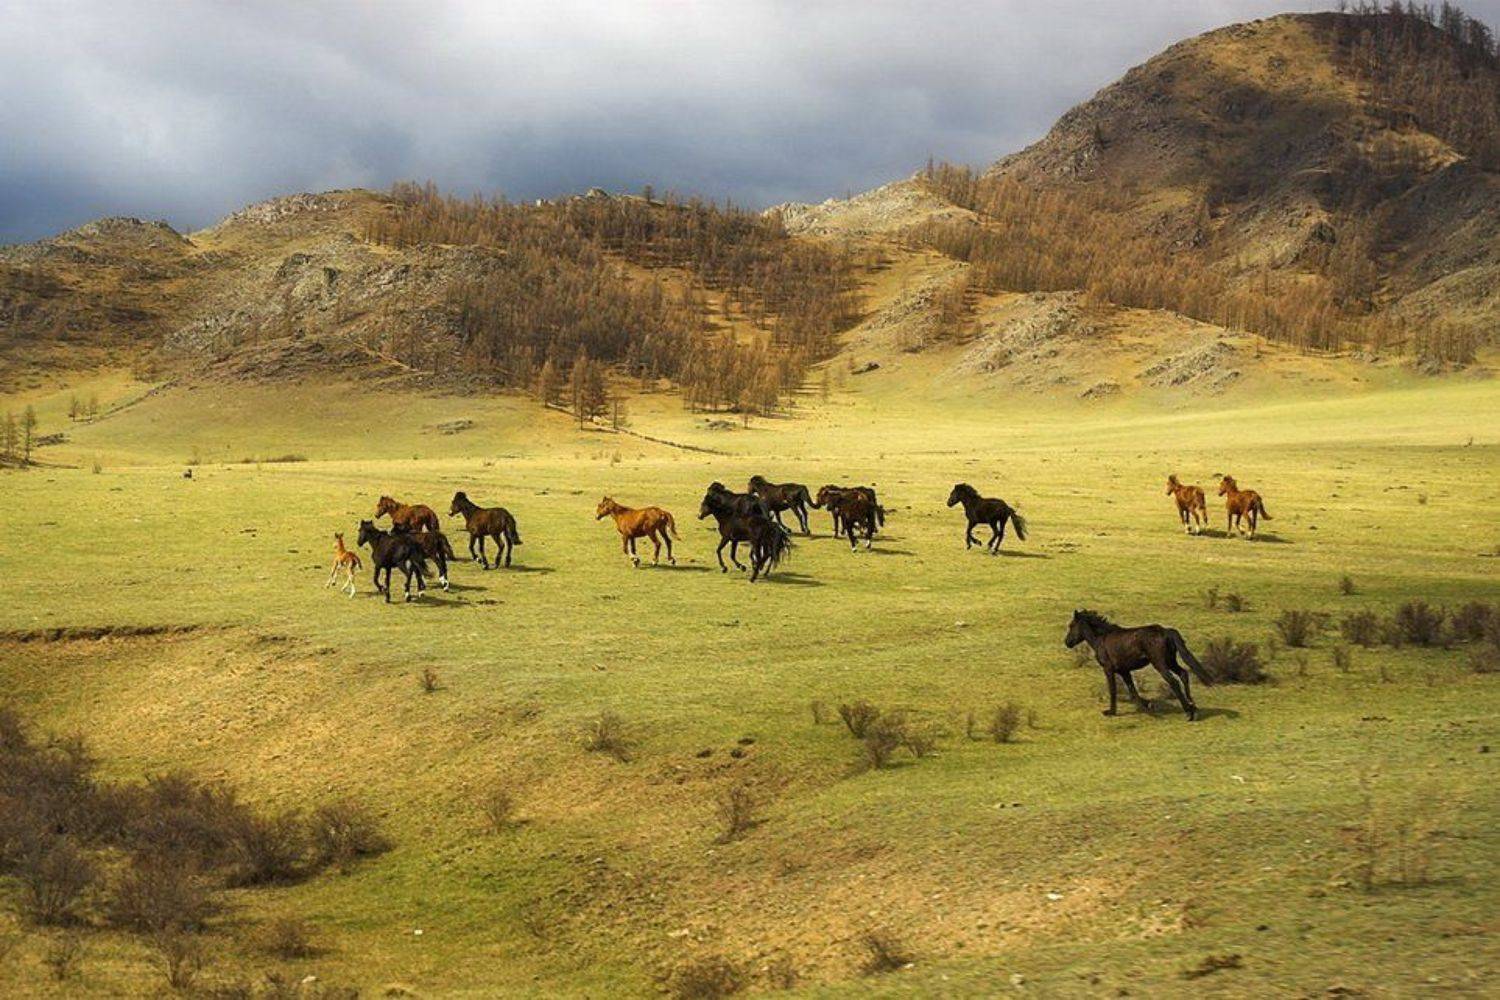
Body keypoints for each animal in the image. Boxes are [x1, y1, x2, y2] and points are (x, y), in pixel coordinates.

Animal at [1064, 609, 1214, 721]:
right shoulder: (1124, 671)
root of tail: (1166, 631)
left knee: (1173, 681)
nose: (1067, 642)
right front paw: (1149, 705)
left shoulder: (1108, 669)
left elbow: (1113, 690)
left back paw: (1188, 713)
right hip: (1170, 661)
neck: (1101, 639)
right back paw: (1192, 706)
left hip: (1160, 663)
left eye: (1071, 625)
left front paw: (1111, 712)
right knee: (1183, 674)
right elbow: (1133, 691)